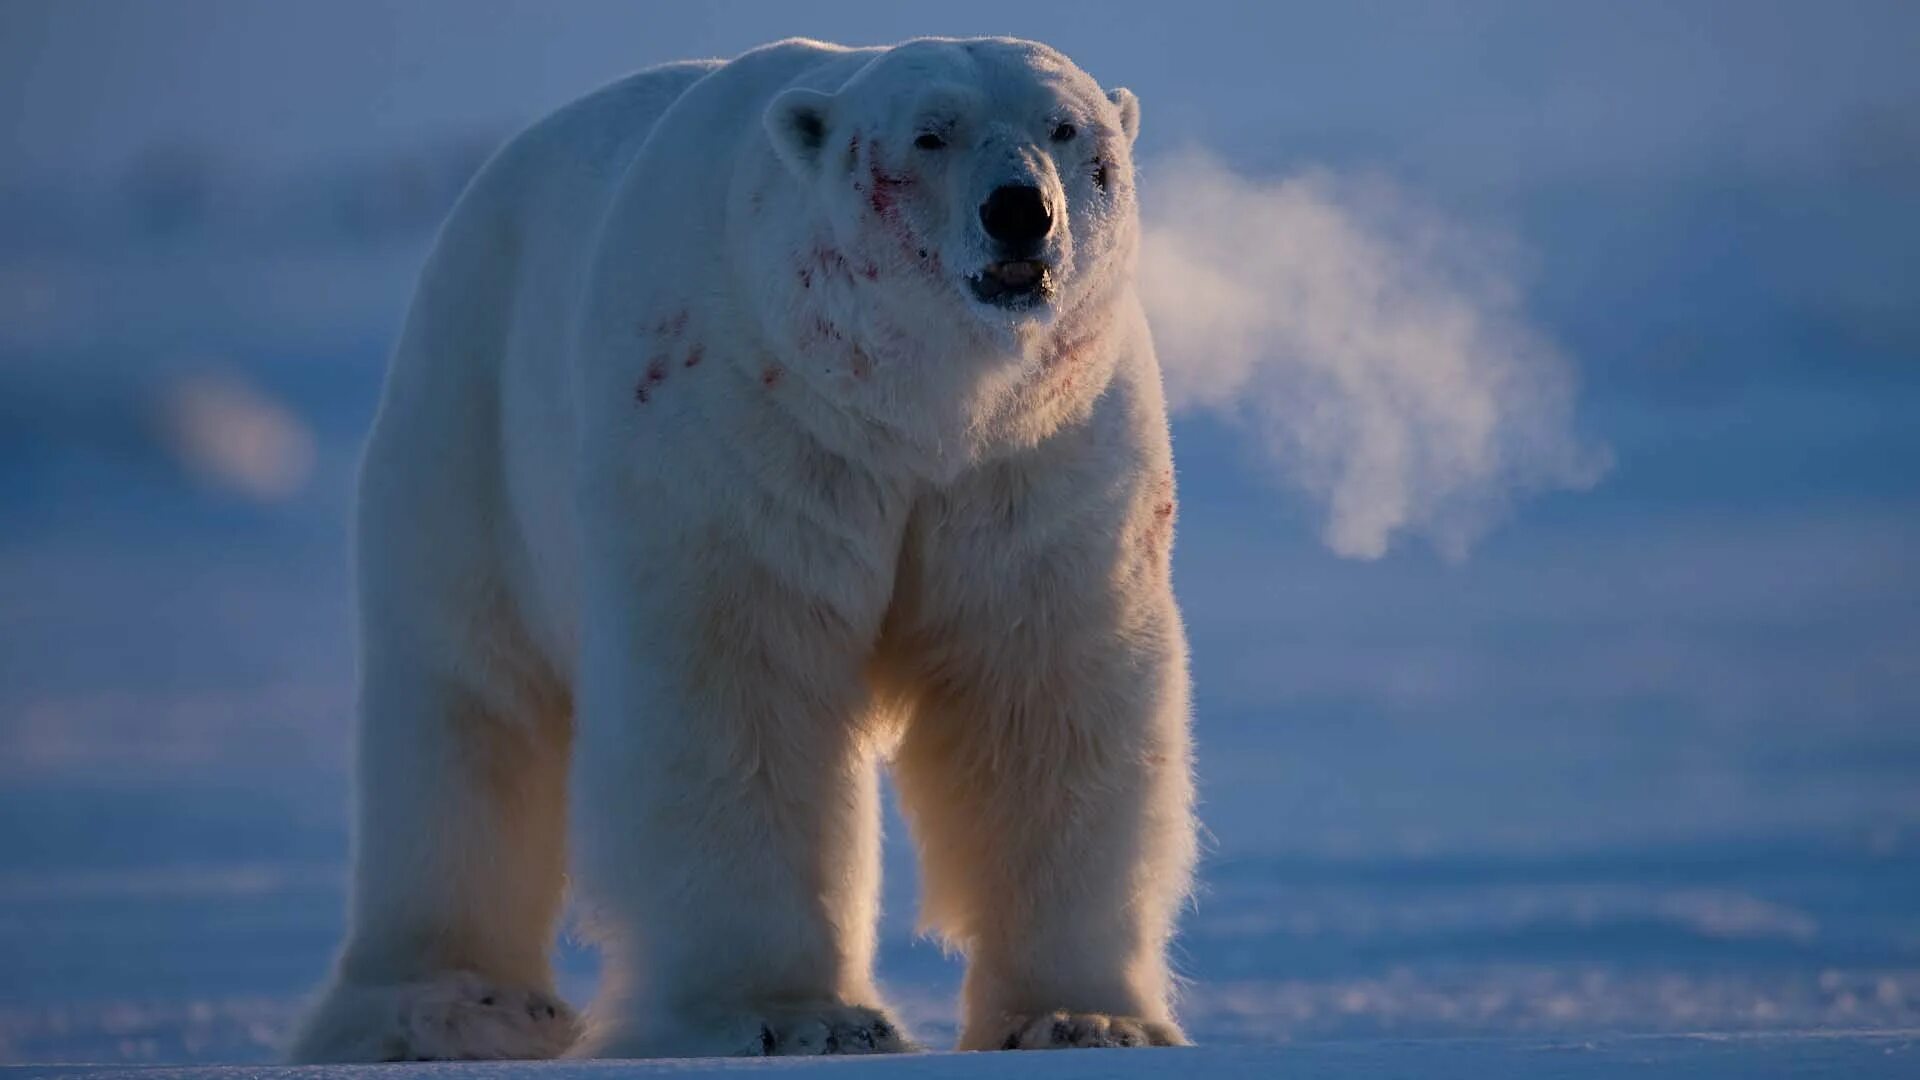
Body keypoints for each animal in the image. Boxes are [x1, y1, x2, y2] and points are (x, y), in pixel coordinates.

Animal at [289, 35, 1190, 1060]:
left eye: (1067, 128)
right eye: (930, 135)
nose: (1019, 212)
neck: (919, 413)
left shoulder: (1037, 459)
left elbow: (1045, 699)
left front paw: (1084, 1019)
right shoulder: (749, 431)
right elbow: (739, 691)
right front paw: (797, 1018)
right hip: (470, 428)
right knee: (464, 709)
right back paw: (453, 1007)